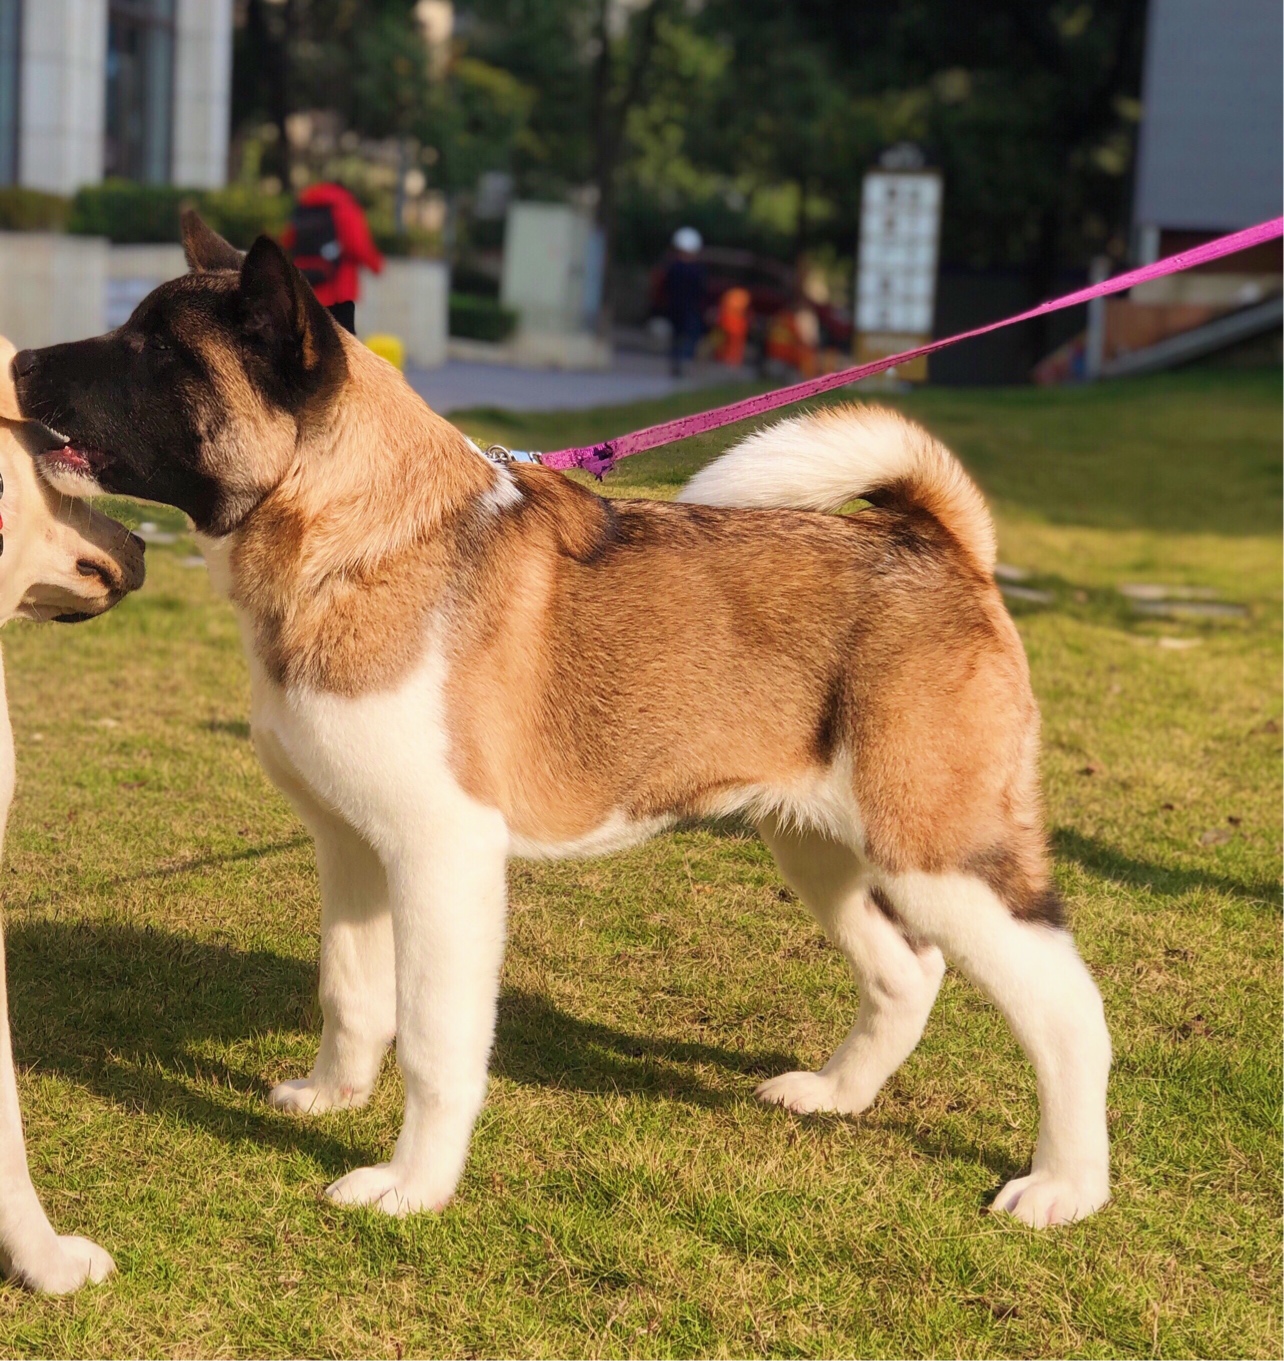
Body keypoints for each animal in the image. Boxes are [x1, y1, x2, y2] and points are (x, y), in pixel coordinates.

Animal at [10, 215, 1116, 1235]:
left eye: (159, 350)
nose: (18, 362)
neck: (363, 537)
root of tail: (937, 542)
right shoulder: (353, 847)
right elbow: (352, 992)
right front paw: (333, 1095)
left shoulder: (444, 857)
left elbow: (438, 1042)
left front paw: (412, 1185)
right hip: (823, 842)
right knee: (906, 970)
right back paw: (835, 1094)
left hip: (939, 851)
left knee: (1070, 1008)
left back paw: (1065, 1185)